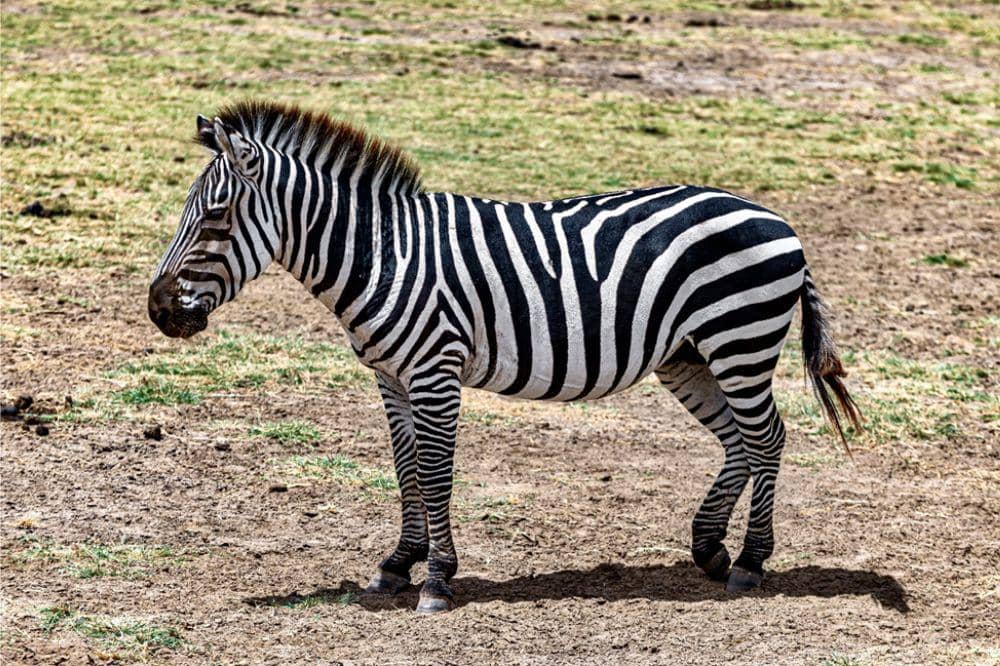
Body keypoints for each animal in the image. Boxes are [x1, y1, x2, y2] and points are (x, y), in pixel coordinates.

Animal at [149, 100, 861, 614]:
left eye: (215, 216)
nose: (157, 310)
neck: (382, 254)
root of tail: (776, 218)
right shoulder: (390, 377)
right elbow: (405, 470)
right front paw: (397, 564)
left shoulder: (435, 370)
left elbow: (435, 472)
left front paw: (437, 580)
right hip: (688, 355)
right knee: (740, 441)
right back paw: (710, 549)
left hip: (738, 340)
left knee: (767, 437)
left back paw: (749, 563)